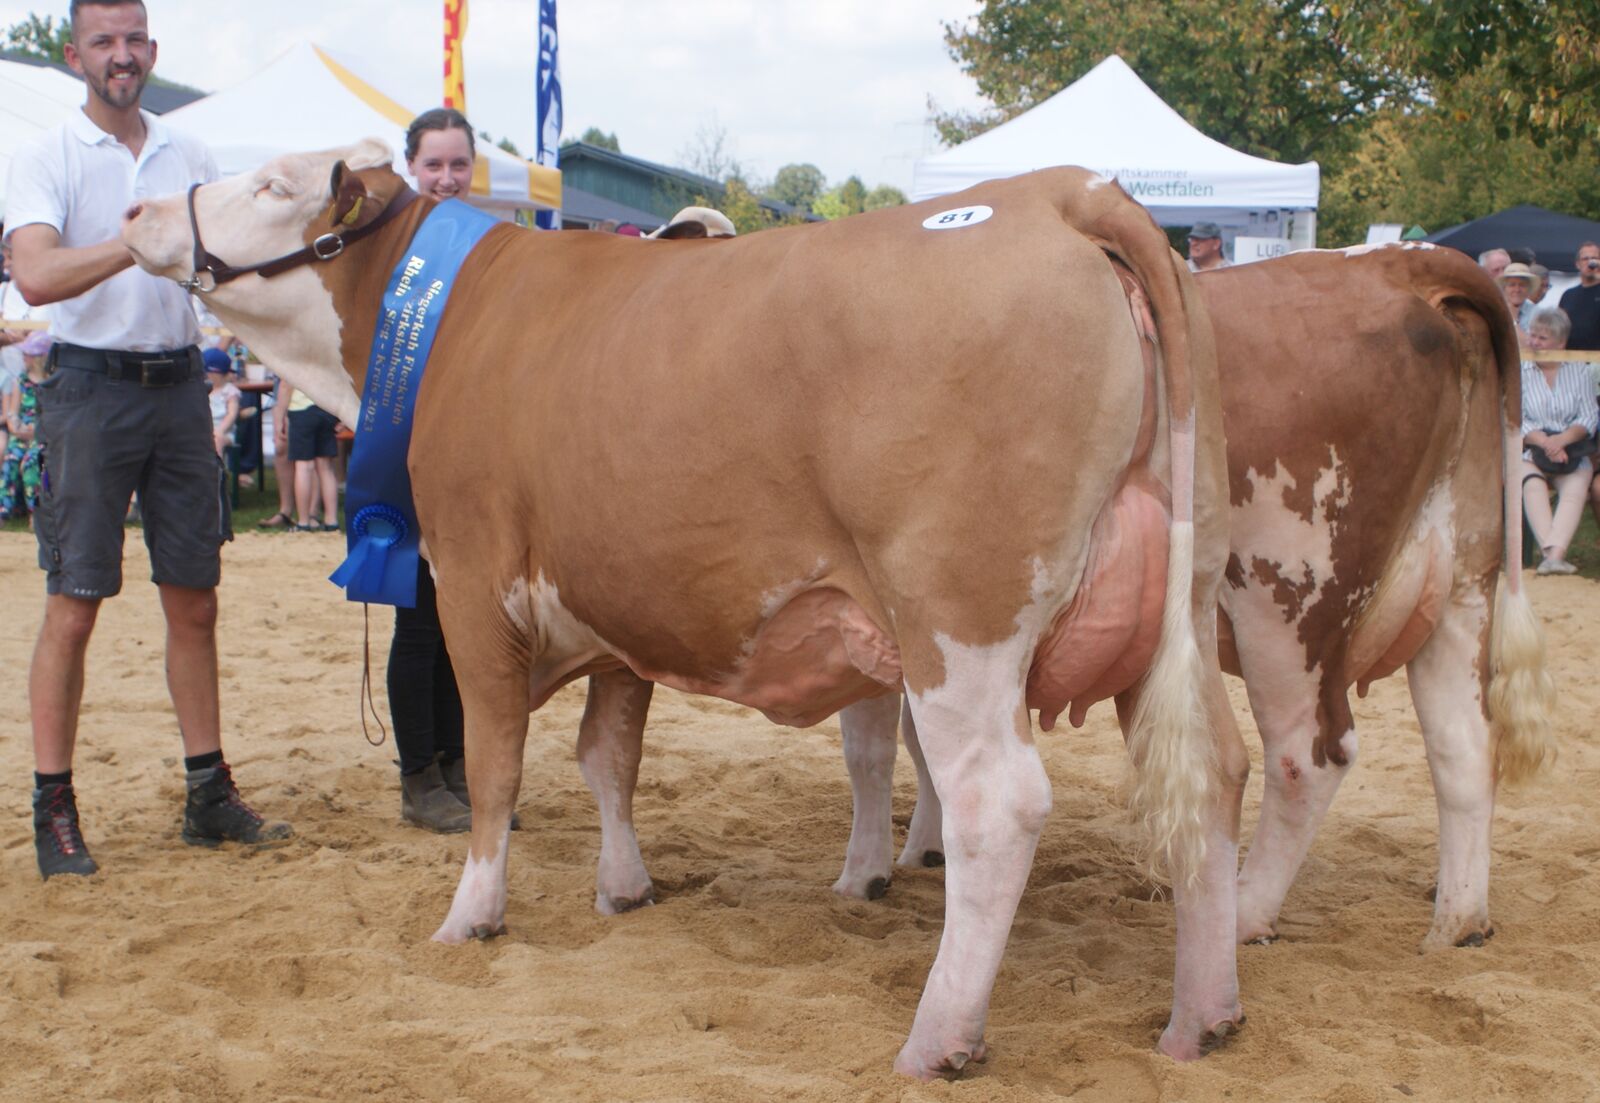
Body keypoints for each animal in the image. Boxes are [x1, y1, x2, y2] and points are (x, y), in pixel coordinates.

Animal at [124, 141, 1248, 1069]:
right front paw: (623, 885)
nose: (138, 209)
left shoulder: (473, 581)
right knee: (1213, 775)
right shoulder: (618, 600)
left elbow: (496, 765)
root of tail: (1059, 191)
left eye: (275, 185)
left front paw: (472, 914)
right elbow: (607, 754)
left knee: (997, 803)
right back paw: (1203, 1013)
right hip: (1181, 601)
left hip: (958, 616)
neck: (459, 319)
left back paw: (939, 1037)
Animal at [832, 244, 1555, 947]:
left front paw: (864, 873)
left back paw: (1244, 913)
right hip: (1463, 583)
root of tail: (1400, 262)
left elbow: (871, 748)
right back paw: (1458, 921)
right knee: (1464, 746)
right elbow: (915, 741)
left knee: (1309, 755)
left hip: (1288, 599)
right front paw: (922, 849)